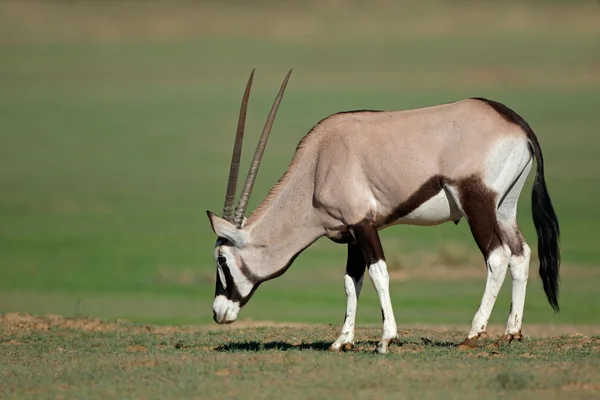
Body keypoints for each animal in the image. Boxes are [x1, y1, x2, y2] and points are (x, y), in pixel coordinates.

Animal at [209, 69, 560, 354]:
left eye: (222, 259)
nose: (217, 312)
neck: (317, 166)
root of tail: (516, 124)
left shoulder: (363, 224)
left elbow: (379, 273)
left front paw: (385, 339)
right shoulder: (350, 232)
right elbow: (352, 280)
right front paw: (343, 340)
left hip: (477, 204)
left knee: (497, 256)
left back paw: (473, 334)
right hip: (504, 207)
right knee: (520, 253)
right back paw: (511, 332)